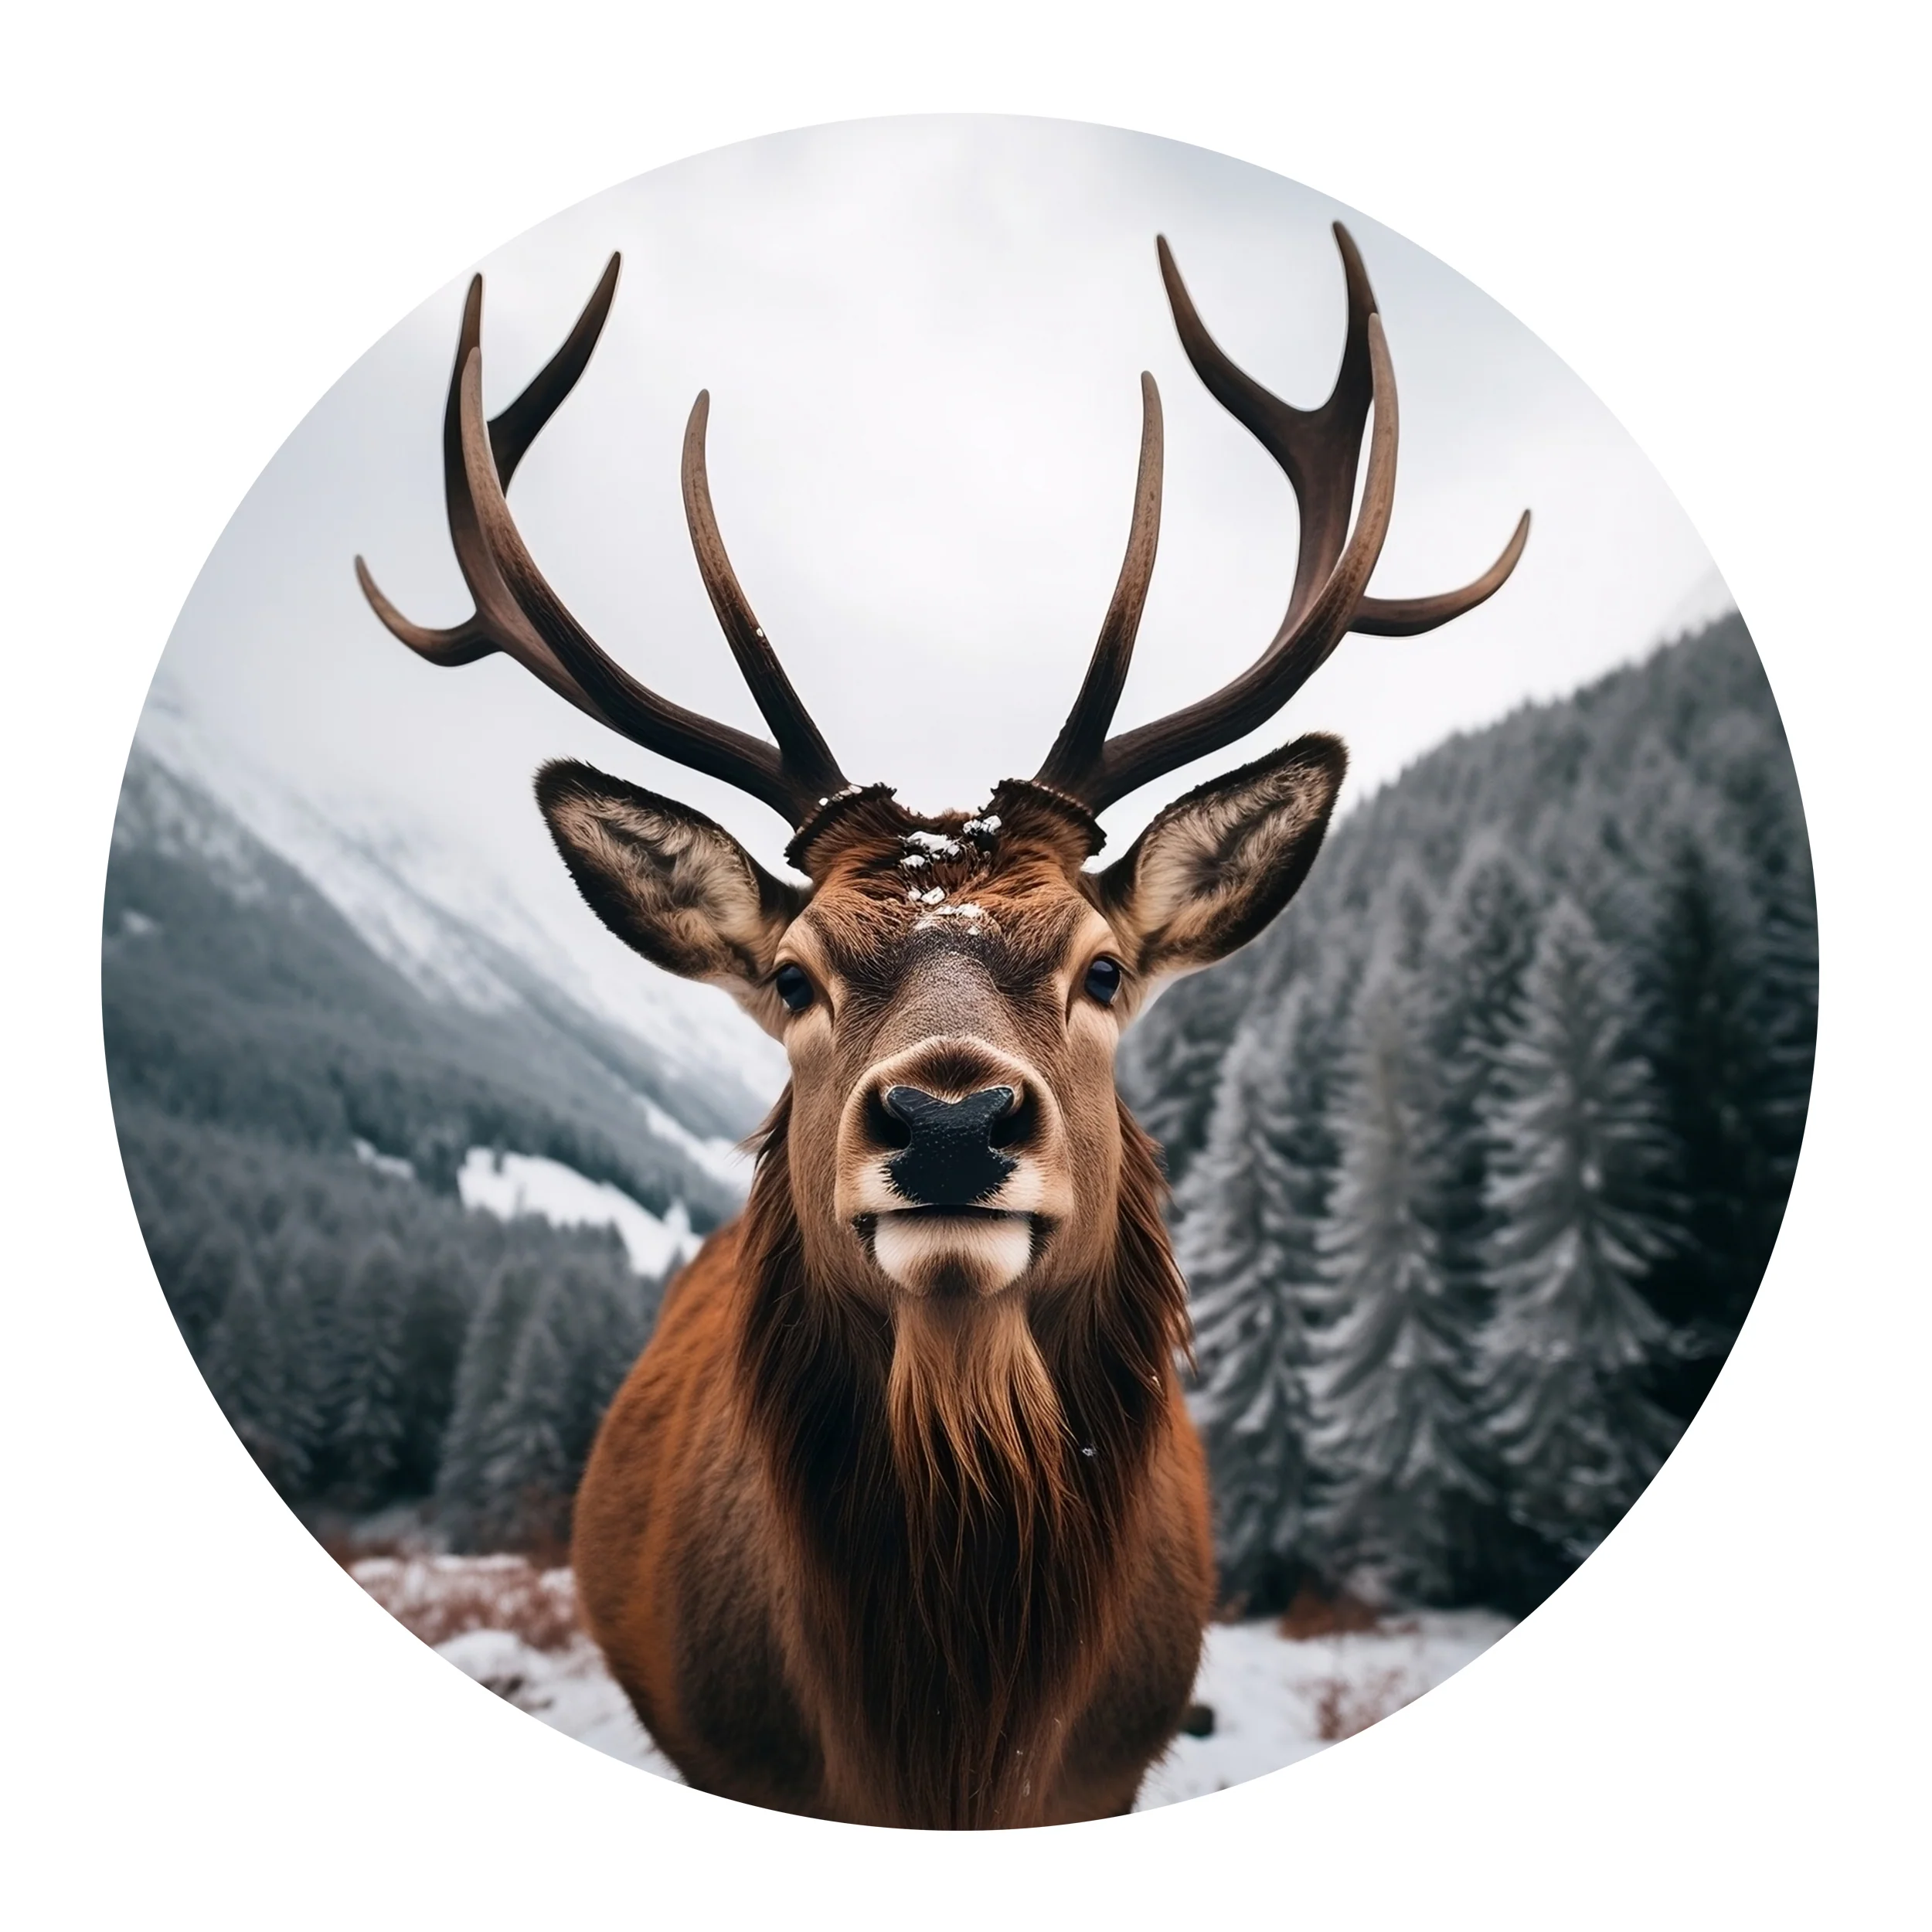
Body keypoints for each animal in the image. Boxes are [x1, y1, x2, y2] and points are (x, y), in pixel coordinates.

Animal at [355, 223, 1527, 1828]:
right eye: (794, 977)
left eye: (1104, 969)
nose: (954, 1120)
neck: (943, 1735)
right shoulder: (736, 1757)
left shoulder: (1106, 1771)